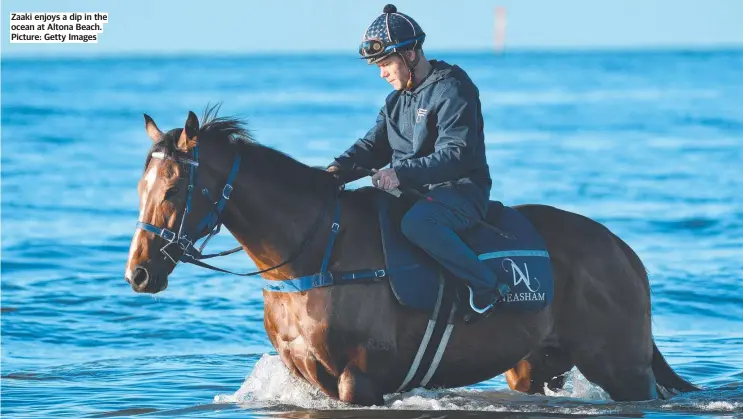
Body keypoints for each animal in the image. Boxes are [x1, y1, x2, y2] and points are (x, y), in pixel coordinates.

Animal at [125, 107, 700, 406]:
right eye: (141, 186)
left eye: (173, 190)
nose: (140, 272)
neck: (312, 255)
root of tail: (622, 252)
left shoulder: (360, 381)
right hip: (533, 367)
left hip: (624, 370)